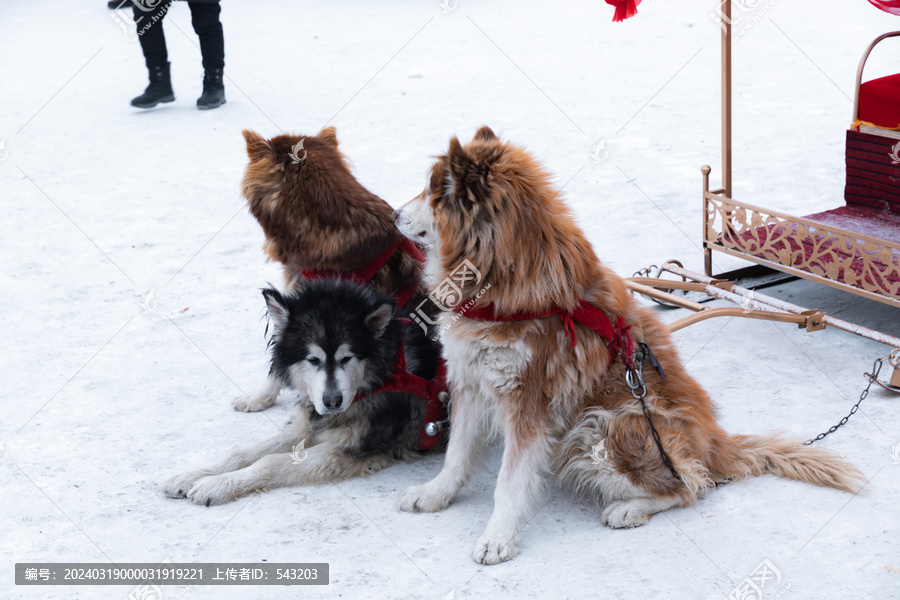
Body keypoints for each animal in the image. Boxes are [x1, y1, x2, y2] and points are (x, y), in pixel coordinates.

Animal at [163, 278, 446, 504]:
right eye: (313, 360)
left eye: (347, 358)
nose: (332, 401)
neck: (380, 378)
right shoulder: (305, 428)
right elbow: (243, 453)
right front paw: (194, 474)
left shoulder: (352, 449)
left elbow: (269, 462)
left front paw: (218, 484)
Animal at [396, 125, 864, 564]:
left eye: (430, 193)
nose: (395, 213)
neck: (500, 274)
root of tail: (717, 445)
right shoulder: (470, 380)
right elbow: (456, 455)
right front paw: (436, 493)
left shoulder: (527, 400)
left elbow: (508, 482)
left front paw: (497, 537)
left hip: (611, 423)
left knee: (692, 485)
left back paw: (630, 508)